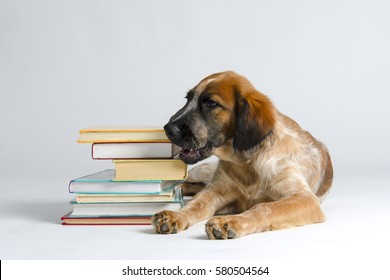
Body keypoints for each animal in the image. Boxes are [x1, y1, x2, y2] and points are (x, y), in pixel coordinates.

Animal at [152, 71, 332, 240]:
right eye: (187, 99)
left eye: (212, 103)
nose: (168, 128)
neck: (247, 163)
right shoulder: (215, 190)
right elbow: (195, 204)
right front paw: (176, 216)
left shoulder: (305, 198)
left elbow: (263, 207)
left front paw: (230, 221)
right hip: (201, 171)